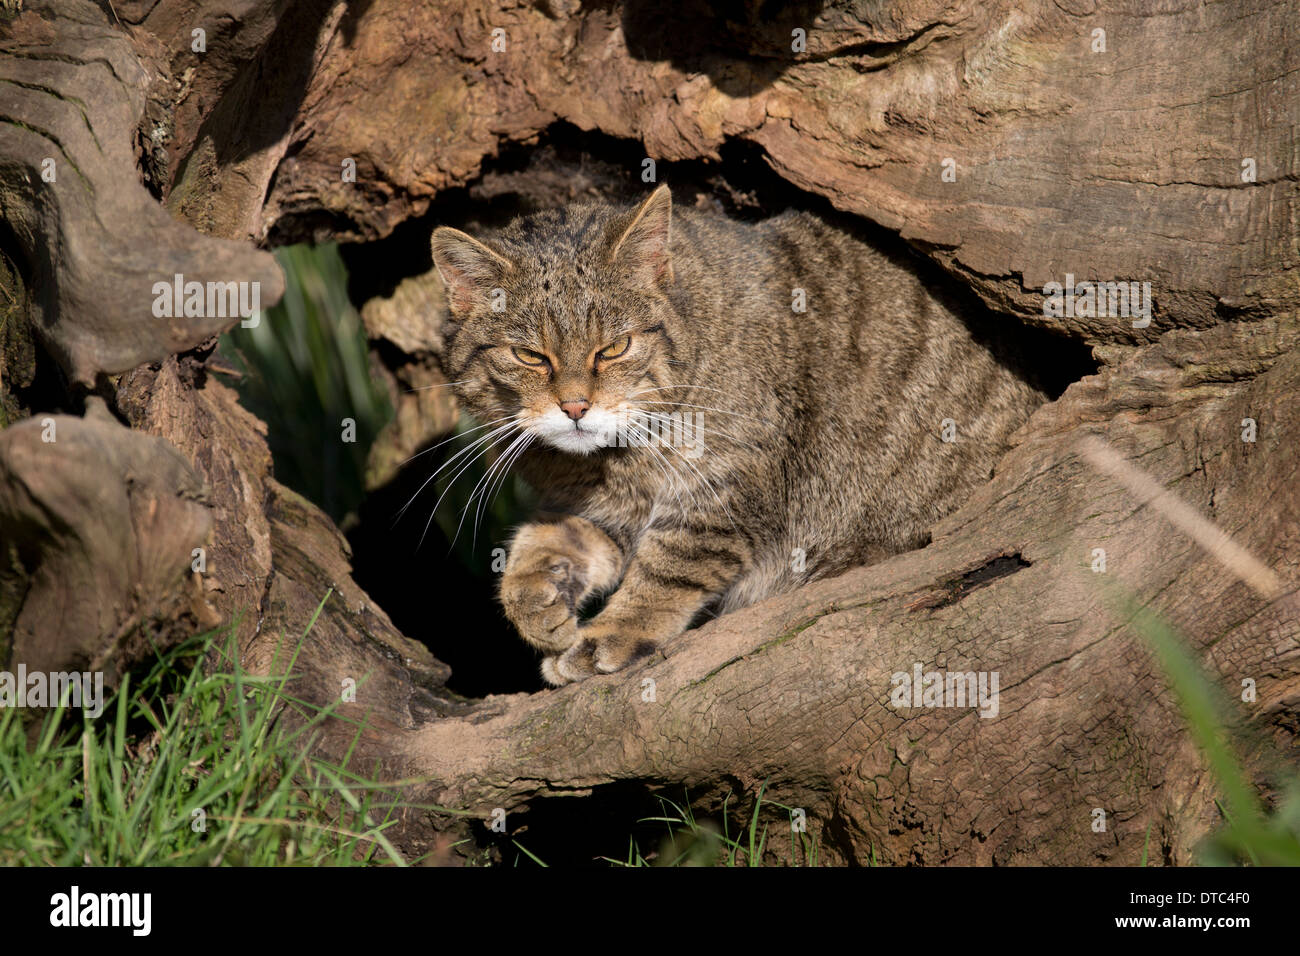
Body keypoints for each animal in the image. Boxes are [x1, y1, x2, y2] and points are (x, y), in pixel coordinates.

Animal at [431, 183, 1040, 686]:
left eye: (615, 347)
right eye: (529, 356)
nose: (576, 406)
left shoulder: (725, 490)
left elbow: (666, 570)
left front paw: (612, 633)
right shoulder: (596, 511)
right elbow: (542, 546)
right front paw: (537, 603)